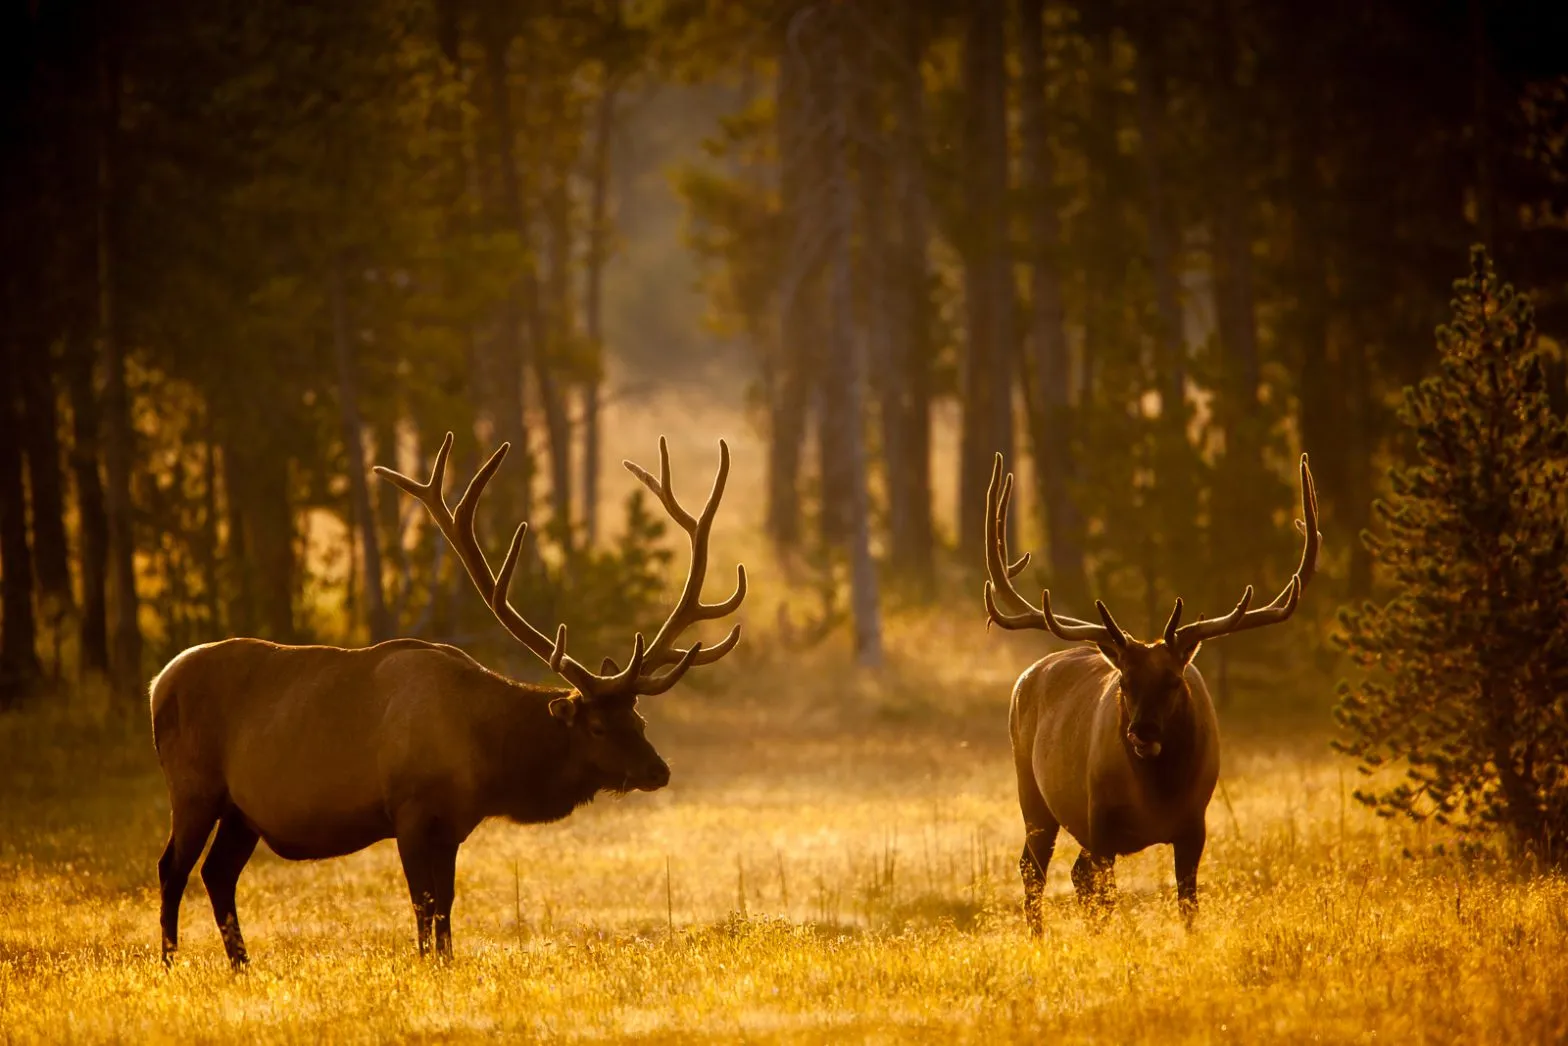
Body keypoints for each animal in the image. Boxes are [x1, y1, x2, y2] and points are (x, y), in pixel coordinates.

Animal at [149, 432, 746, 966]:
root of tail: (158, 683)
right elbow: (424, 904)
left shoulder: (454, 824)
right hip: (193, 785)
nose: (659, 769)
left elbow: (447, 906)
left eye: (640, 718)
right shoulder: (410, 810)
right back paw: (171, 961)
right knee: (173, 867)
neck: (486, 758)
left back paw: (241, 964)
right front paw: (428, 965)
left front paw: (446, 962)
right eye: (599, 726)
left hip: (242, 810)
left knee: (217, 873)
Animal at [982, 453, 1319, 932]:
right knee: (1033, 868)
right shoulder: (1101, 825)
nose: (1142, 732)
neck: (1157, 795)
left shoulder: (1194, 826)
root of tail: (1025, 677)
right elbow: (1105, 900)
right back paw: (1040, 938)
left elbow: (1188, 907)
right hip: (1032, 790)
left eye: (1174, 680)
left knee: (1072, 873)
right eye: (1124, 681)